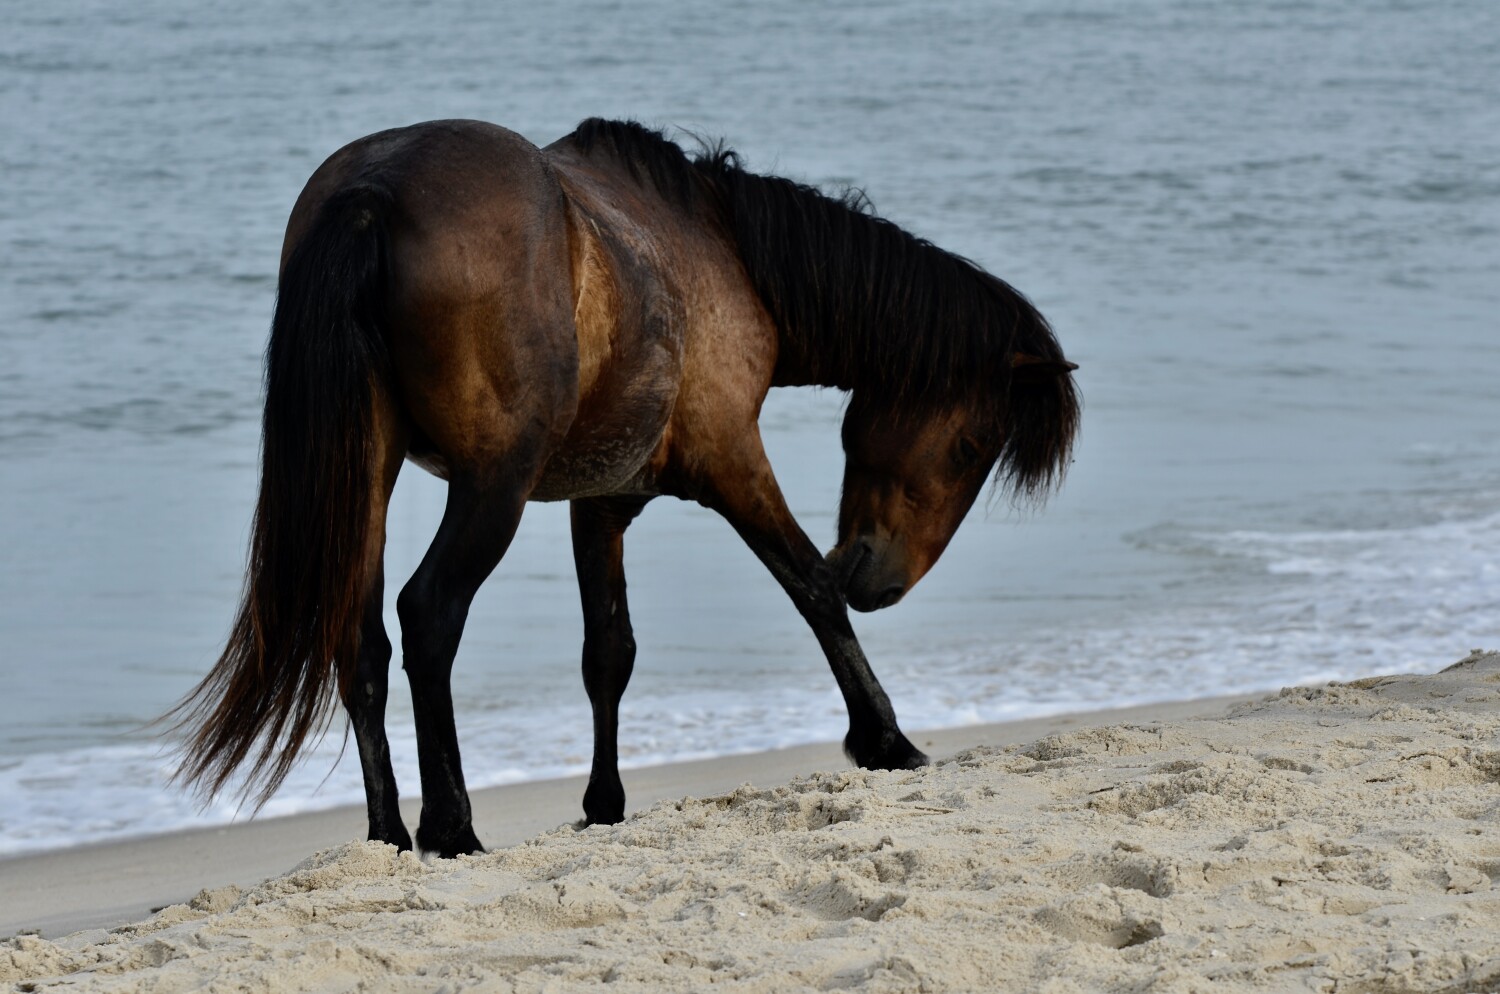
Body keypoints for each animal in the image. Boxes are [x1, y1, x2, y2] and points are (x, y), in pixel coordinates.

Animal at [169, 118, 1080, 858]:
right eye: (970, 447)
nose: (879, 581)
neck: (721, 249)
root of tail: (373, 192)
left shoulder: (599, 503)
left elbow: (608, 651)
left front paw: (603, 803)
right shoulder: (733, 459)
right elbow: (810, 590)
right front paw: (885, 739)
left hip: (370, 472)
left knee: (361, 641)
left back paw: (389, 834)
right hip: (491, 486)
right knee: (429, 613)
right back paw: (451, 827)